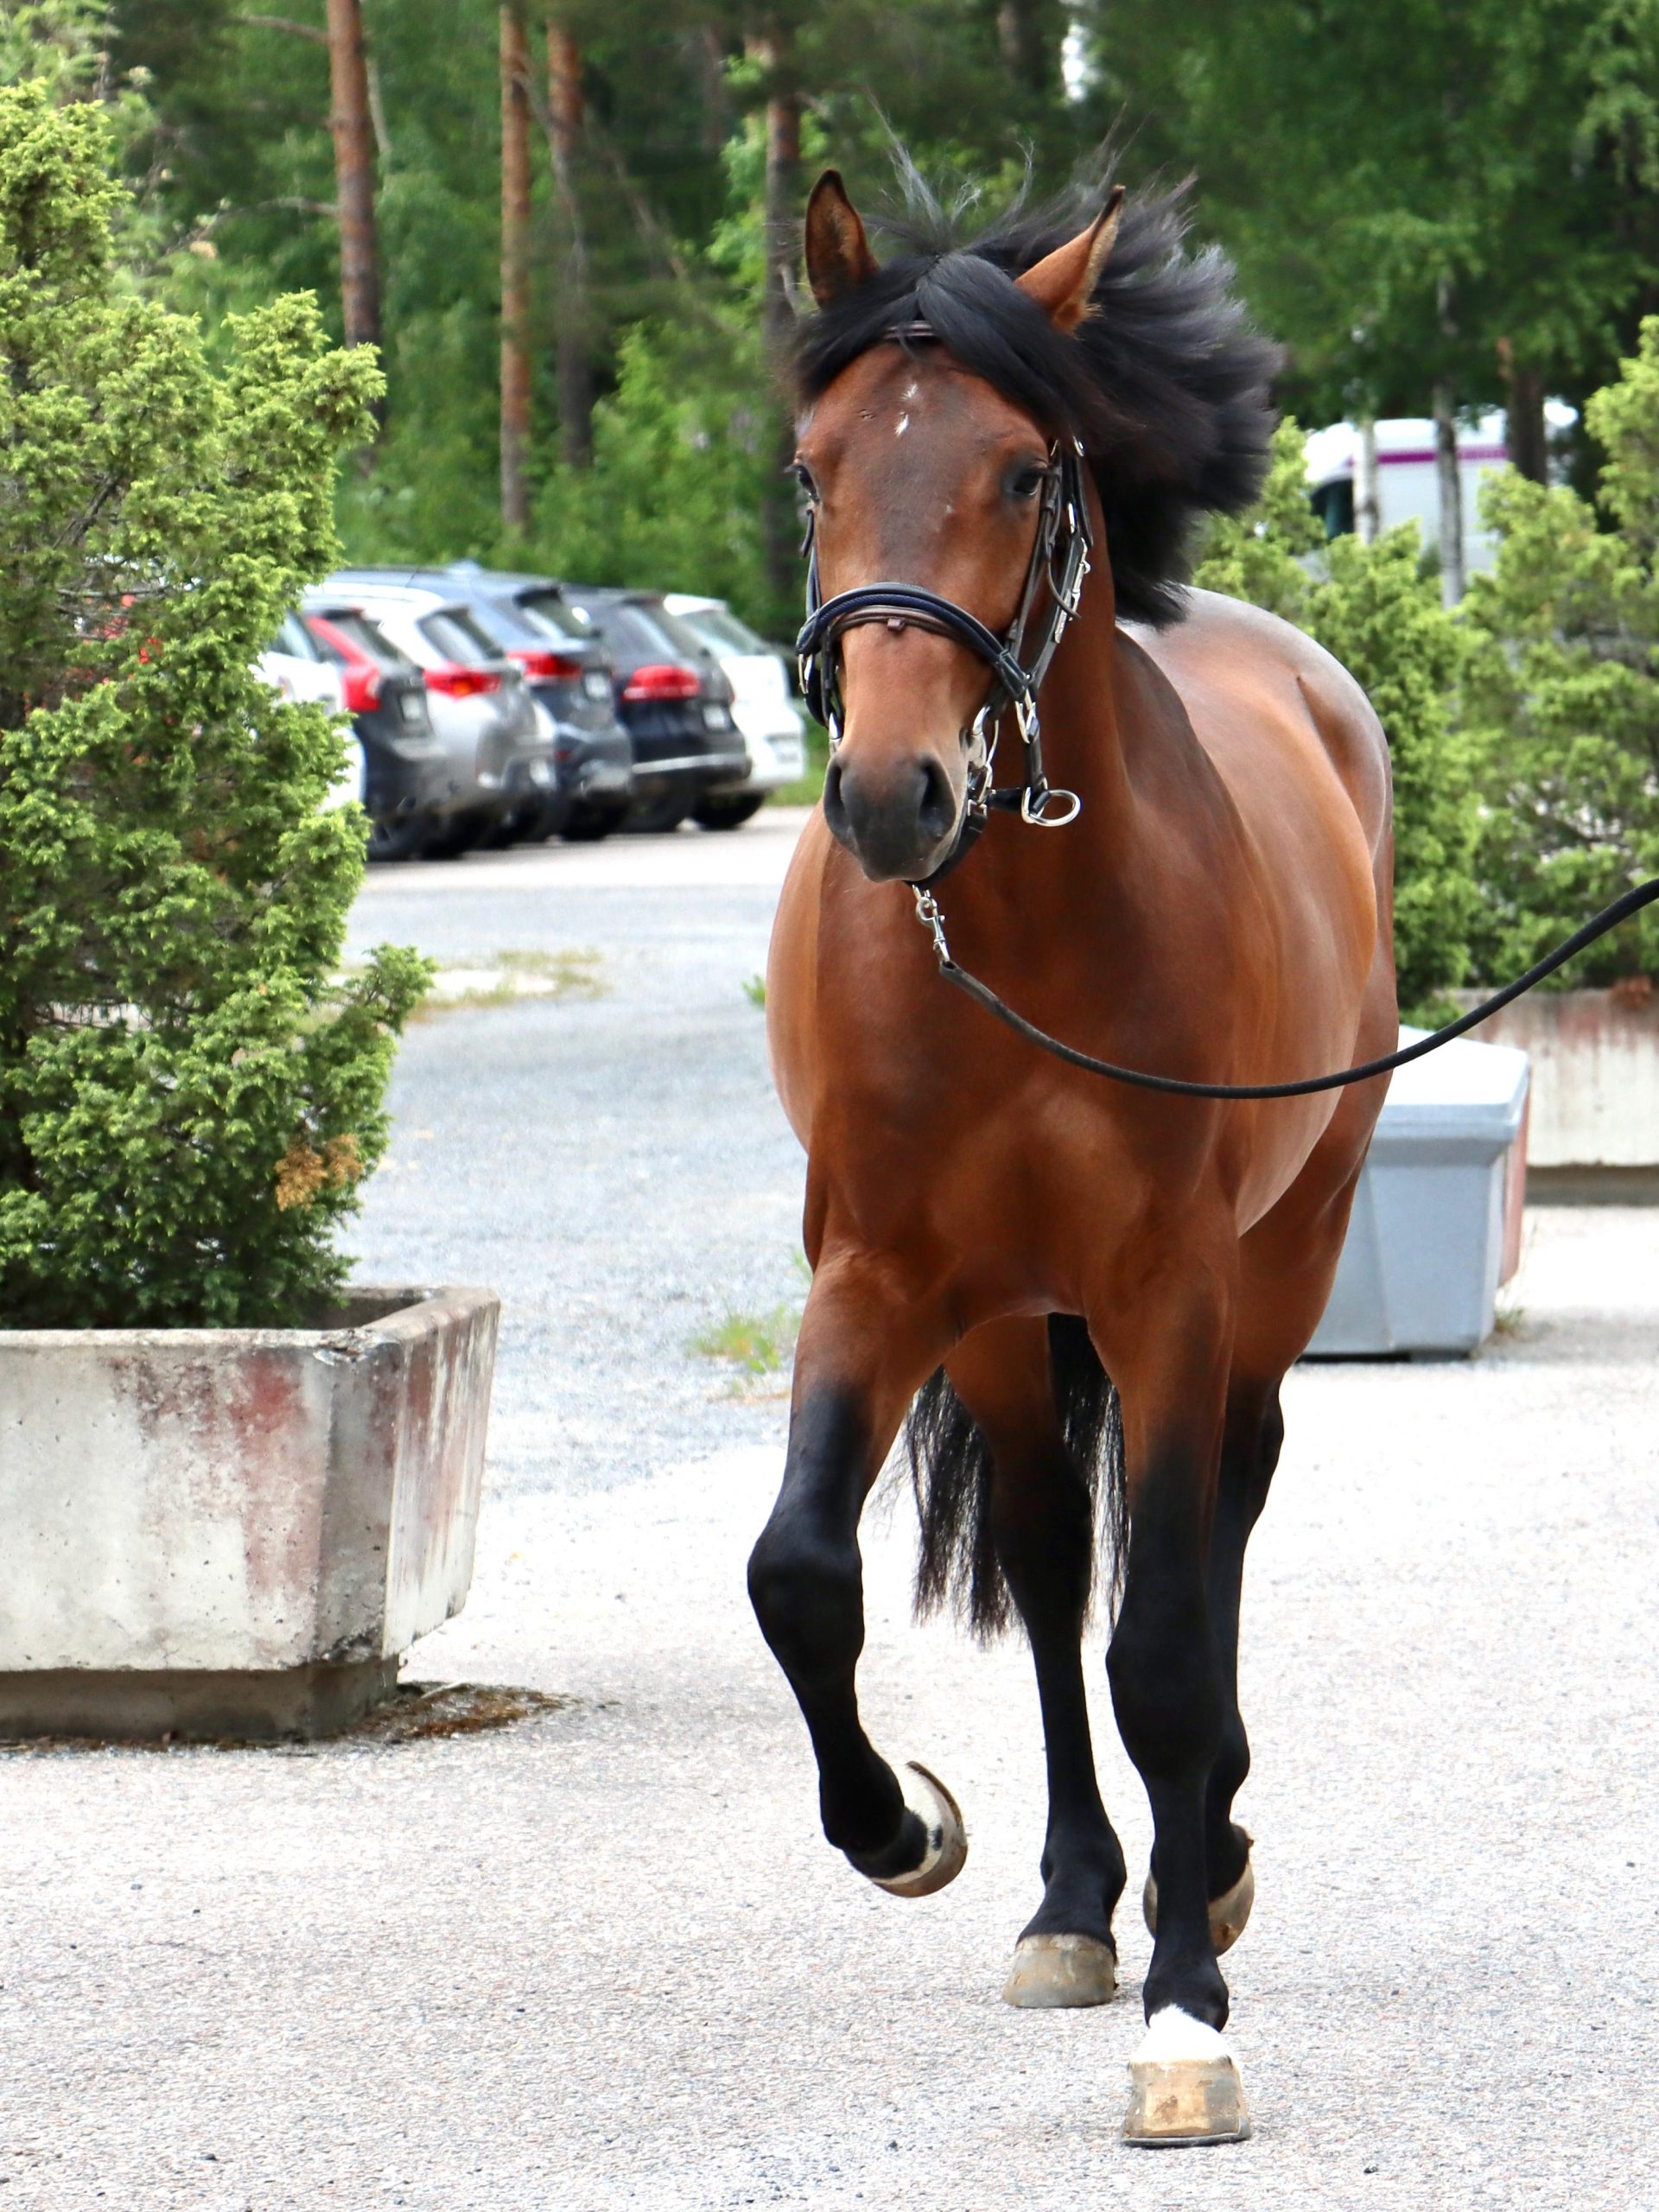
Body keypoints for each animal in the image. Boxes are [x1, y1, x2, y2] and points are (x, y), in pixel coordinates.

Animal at [748, 165, 1397, 2148]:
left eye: (1029, 472)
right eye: (812, 468)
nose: (891, 798)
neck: (1011, 941)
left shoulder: (1170, 1289)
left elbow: (1167, 1641)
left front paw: (1189, 2020)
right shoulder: (882, 1277)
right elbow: (802, 1572)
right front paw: (906, 1829)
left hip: (1281, 1261)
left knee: (1221, 1519)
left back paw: (1215, 1860)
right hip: (1001, 1331)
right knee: (1044, 1565)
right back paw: (1072, 1898)